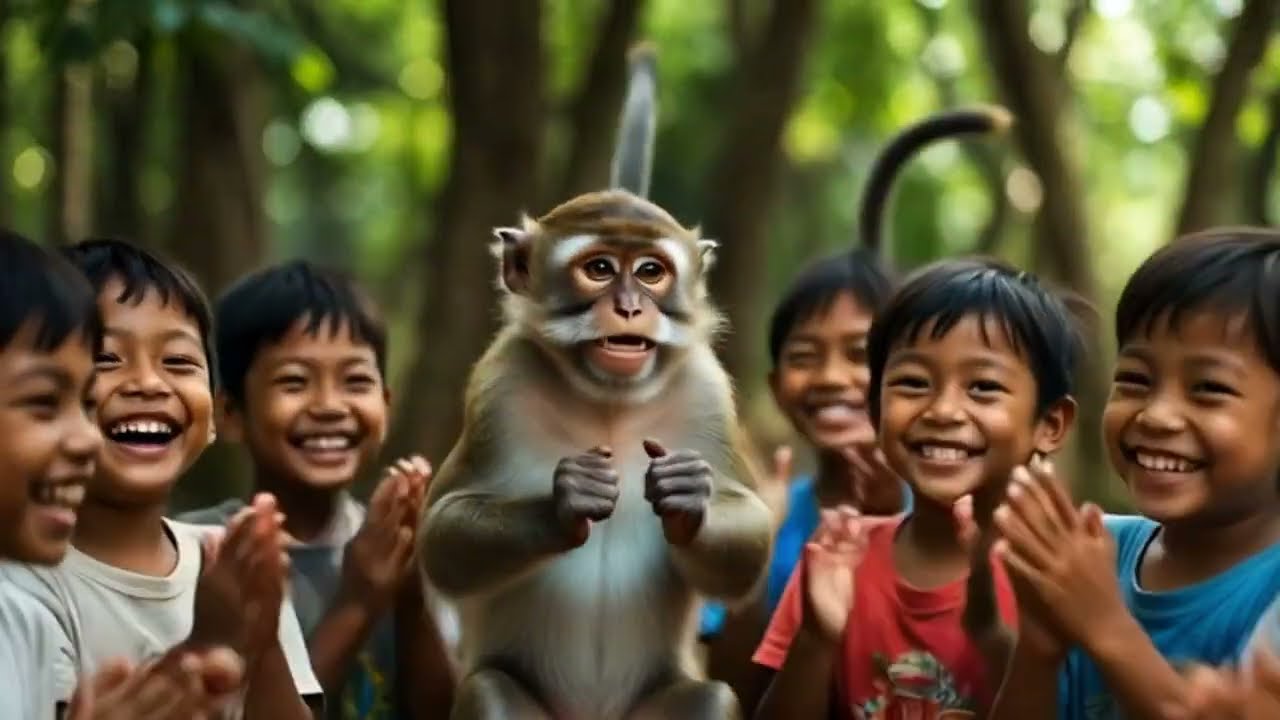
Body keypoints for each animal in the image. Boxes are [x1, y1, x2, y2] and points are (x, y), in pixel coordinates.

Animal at [417, 45, 774, 720]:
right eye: (601, 268)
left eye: (652, 272)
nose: (631, 306)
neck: (610, 402)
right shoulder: (497, 386)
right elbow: (440, 534)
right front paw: (567, 501)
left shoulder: (708, 392)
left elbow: (752, 533)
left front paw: (689, 493)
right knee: (489, 689)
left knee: (710, 697)